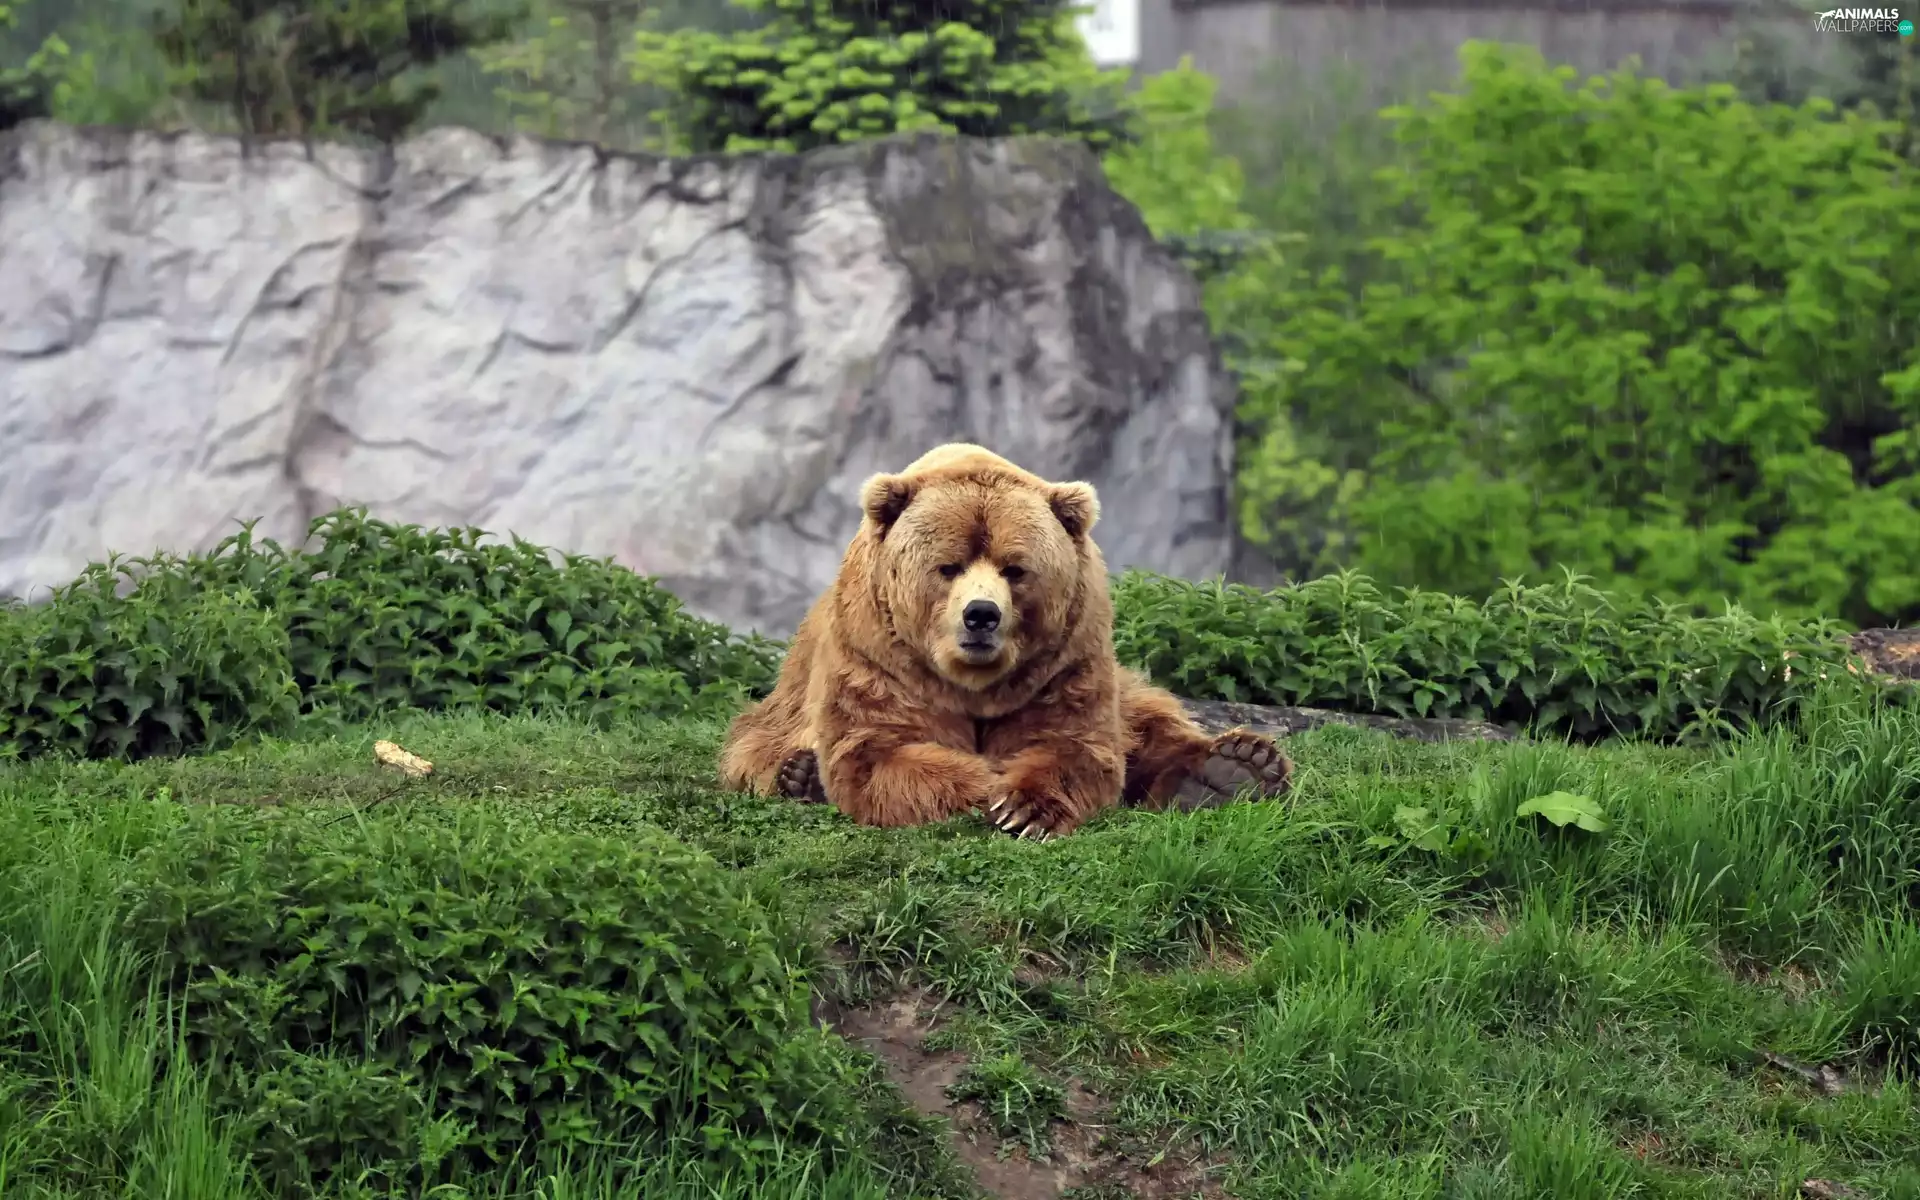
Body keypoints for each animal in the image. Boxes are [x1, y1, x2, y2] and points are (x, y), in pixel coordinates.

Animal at [717, 443, 1292, 838]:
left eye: (1015, 569)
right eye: (947, 566)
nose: (981, 615)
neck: (972, 684)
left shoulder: (1064, 662)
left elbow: (1076, 744)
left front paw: (1025, 807)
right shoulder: (877, 657)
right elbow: (880, 751)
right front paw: (985, 788)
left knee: (1150, 719)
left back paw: (1235, 767)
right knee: (757, 747)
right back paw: (798, 776)